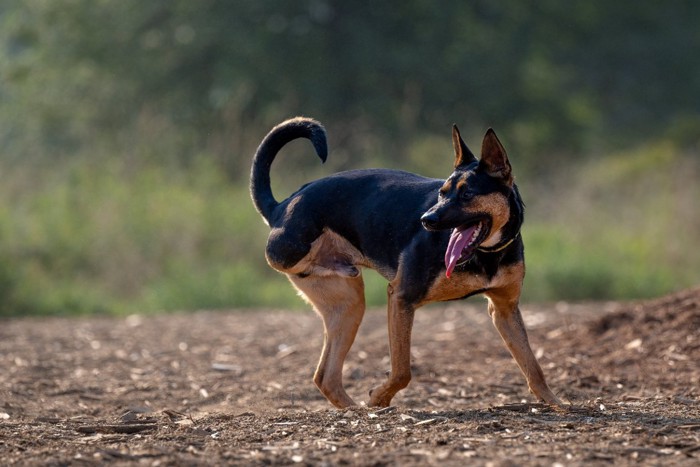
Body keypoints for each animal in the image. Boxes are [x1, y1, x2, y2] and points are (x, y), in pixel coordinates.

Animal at [249, 117, 560, 410]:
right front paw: (379, 398)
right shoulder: (401, 298)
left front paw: (555, 403)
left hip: (348, 307)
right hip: (311, 268)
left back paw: (354, 411)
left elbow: (533, 366)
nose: (426, 220)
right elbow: (402, 371)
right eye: (442, 192)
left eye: (467, 194)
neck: (487, 253)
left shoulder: (504, 310)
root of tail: (281, 207)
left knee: (325, 377)